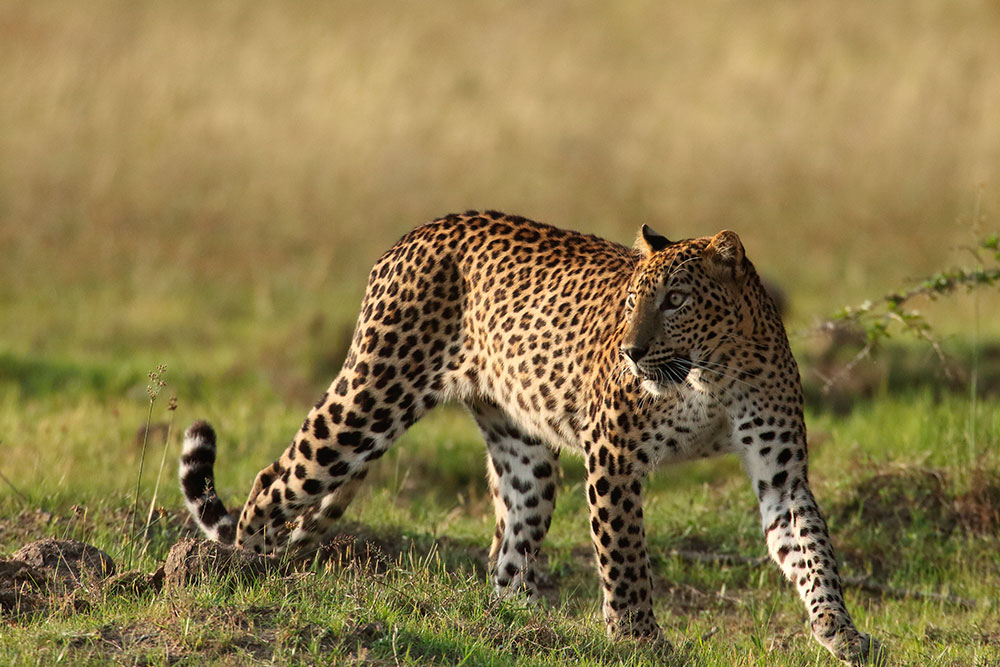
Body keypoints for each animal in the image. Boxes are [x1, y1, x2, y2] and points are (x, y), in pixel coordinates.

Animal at [180, 210, 883, 664]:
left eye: (677, 300)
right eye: (633, 300)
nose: (629, 352)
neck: (711, 370)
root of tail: (416, 233)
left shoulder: (781, 473)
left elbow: (812, 553)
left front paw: (840, 632)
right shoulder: (614, 456)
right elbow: (625, 558)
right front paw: (639, 641)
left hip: (525, 456)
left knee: (508, 552)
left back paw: (514, 631)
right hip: (371, 396)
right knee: (274, 482)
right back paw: (236, 574)